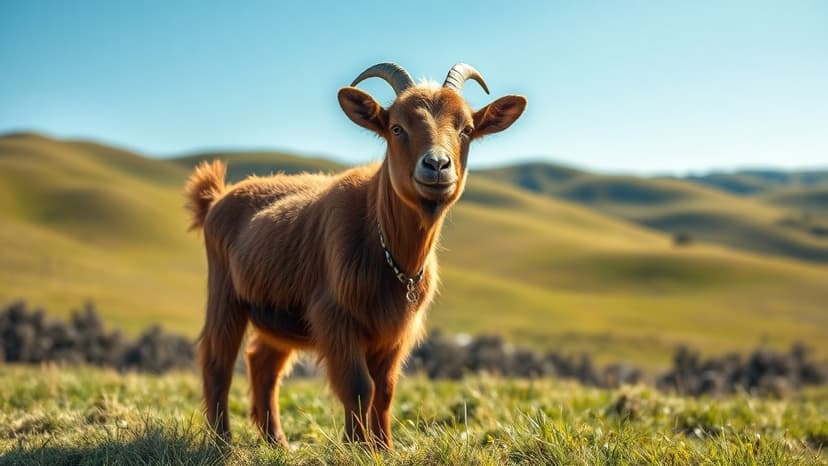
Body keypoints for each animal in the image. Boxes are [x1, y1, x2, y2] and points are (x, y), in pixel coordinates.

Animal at [185, 63, 526, 449]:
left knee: (263, 362)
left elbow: (386, 390)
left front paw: (384, 448)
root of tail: (217, 198)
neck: (388, 249)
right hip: (225, 294)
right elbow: (359, 387)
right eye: (397, 127)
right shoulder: (335, 317)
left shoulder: (396, 330)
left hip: (278, 313)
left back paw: (278, 442)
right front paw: (356, 447)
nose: (437, 165)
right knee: (217, 360)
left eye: (466, 129)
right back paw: (221, 439)